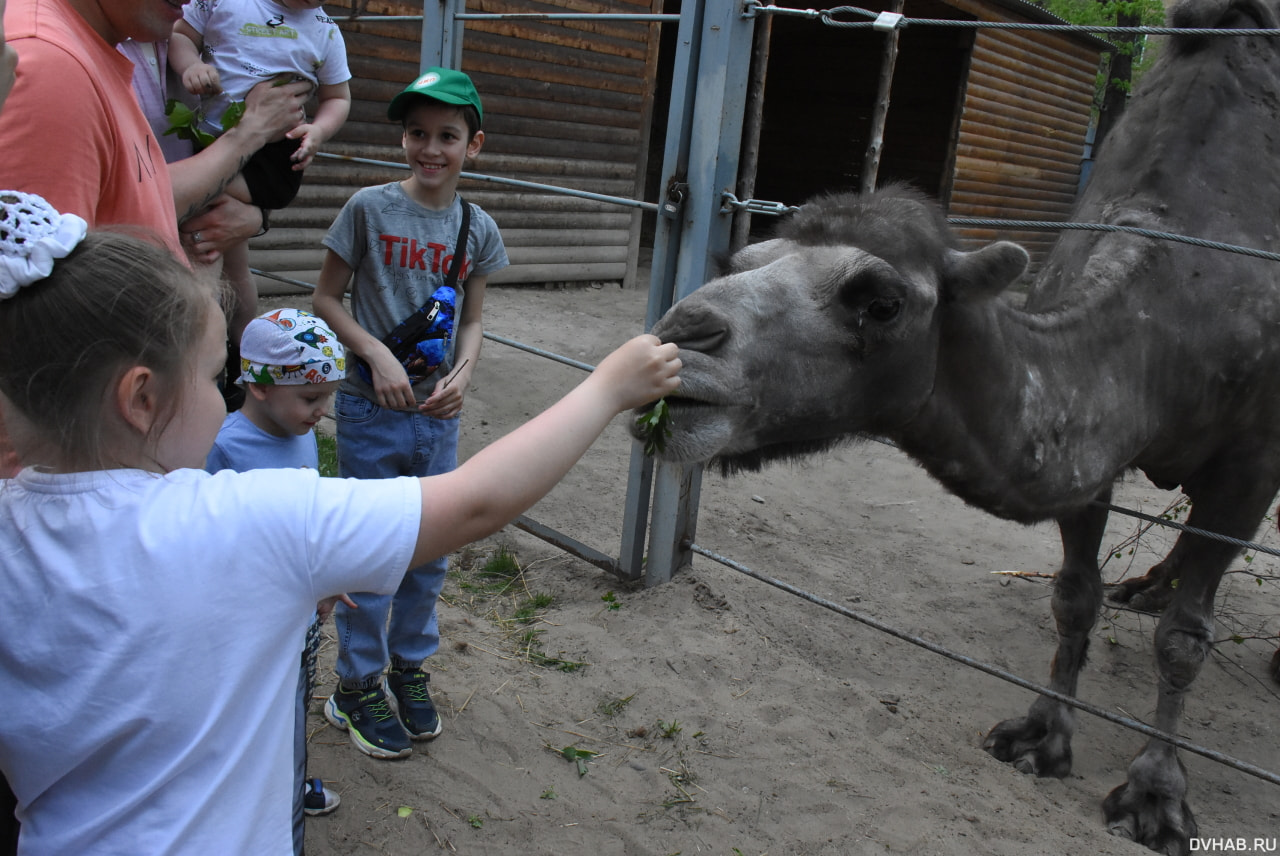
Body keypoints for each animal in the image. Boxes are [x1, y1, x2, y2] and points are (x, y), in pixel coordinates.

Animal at [634, 1, 1280, 854]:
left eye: (880, 302)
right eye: (746, 257)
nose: (681, 335)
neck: (1178, 306)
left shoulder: (1251, 468)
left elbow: (1184, 638)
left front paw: (1155, 795)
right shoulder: (1094, 454)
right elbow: (1074, 595)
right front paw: (1041, 737)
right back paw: (1149, 586)